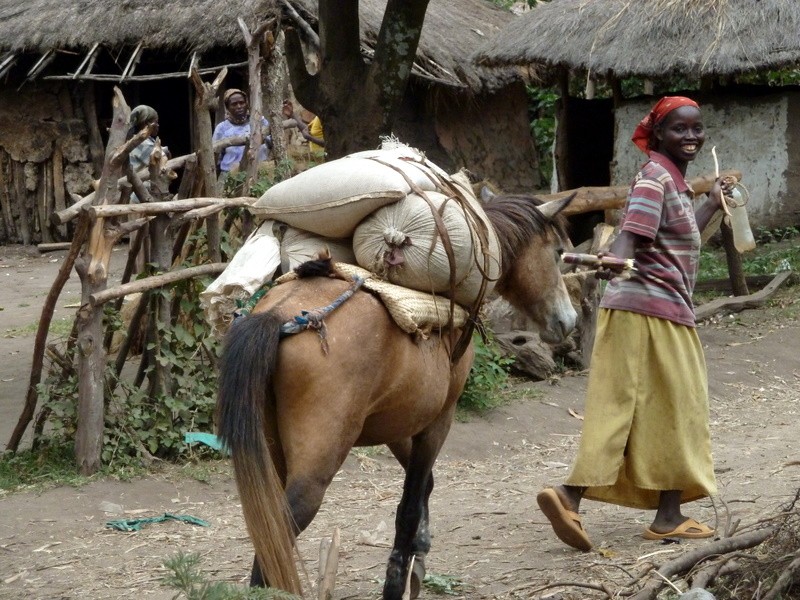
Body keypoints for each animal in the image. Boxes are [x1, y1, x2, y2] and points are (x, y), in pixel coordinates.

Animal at [216, 193, 580, 600]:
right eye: (559, 252)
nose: (569, 321)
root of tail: (278, 317)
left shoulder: (399, 424)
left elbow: (424, 488)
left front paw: (419, 555)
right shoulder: (438, 421)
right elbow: (408, 506)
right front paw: (399, 578)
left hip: (271, 452)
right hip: (316, 466)